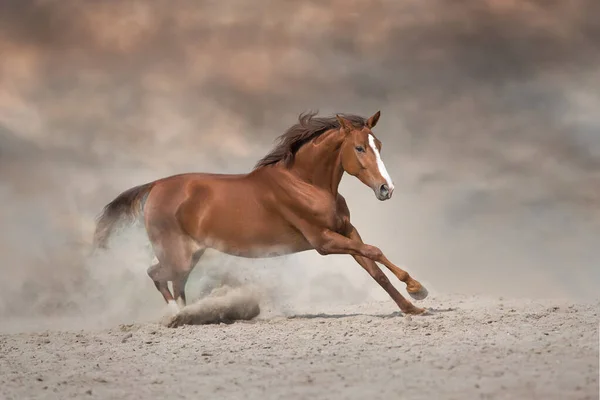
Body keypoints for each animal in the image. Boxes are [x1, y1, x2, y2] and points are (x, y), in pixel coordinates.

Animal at [94, 109, 428, 316]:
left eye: (379, 145)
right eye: (359, 148)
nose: (387, 189)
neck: (306, 184)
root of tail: (155, 186)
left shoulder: (347, 232)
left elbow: (374, 266)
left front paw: (413, 304)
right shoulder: (323, 241)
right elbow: (374, 251)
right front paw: (417, 289)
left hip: (189, 254)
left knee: (173, 281)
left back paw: (191, 313)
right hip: (178, 255)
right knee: (157, 275)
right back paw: (178, 315)